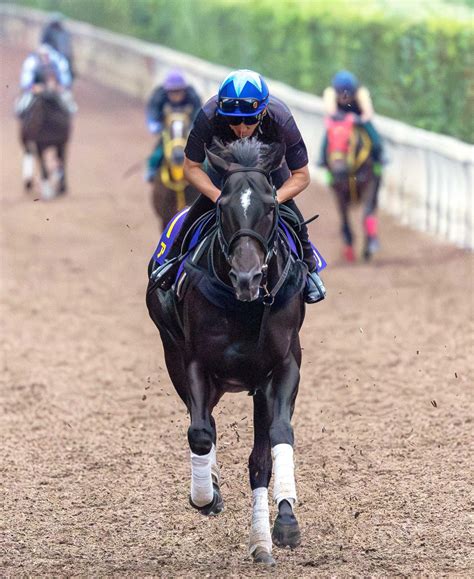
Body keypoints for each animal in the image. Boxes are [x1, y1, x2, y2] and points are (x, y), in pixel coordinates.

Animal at [148, 138, 310, 564]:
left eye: (270, 206)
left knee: (257, 457)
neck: (244, 308)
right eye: (222, 206)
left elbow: (274, 442)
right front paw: (206, 495)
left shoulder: (281, 368)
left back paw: (262, 541)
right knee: (203, 422)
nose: (247, 277)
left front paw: (284, 524)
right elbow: (201, 432)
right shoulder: (194, 363)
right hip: (175, 356)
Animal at [326, 112, 382, 262]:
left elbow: (366, 213)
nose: (339, 171)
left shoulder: (370, 183)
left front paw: (370, 246)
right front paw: (349, 249)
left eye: (348, 141)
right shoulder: (338, 190)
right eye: (330, 141)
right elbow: (345, 217)